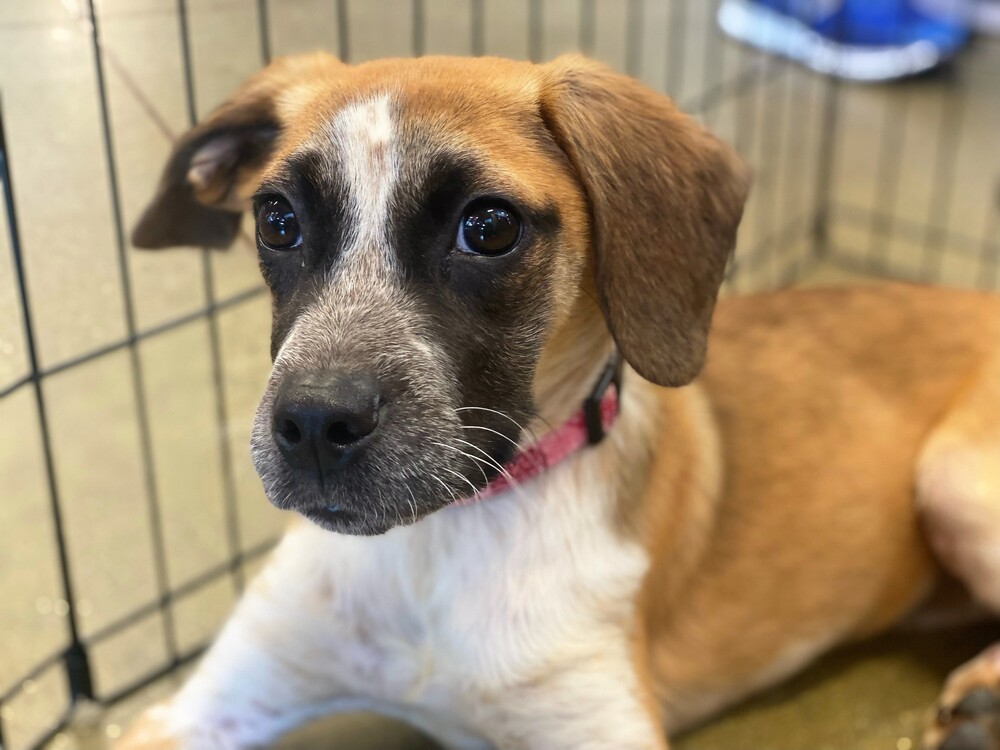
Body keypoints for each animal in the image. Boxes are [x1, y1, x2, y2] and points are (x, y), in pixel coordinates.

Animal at [119, 54, 1000, 750]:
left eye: (489, 227)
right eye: (277, 219)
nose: (310, 425)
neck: (440, 544)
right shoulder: (204, 706)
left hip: (952, 479)